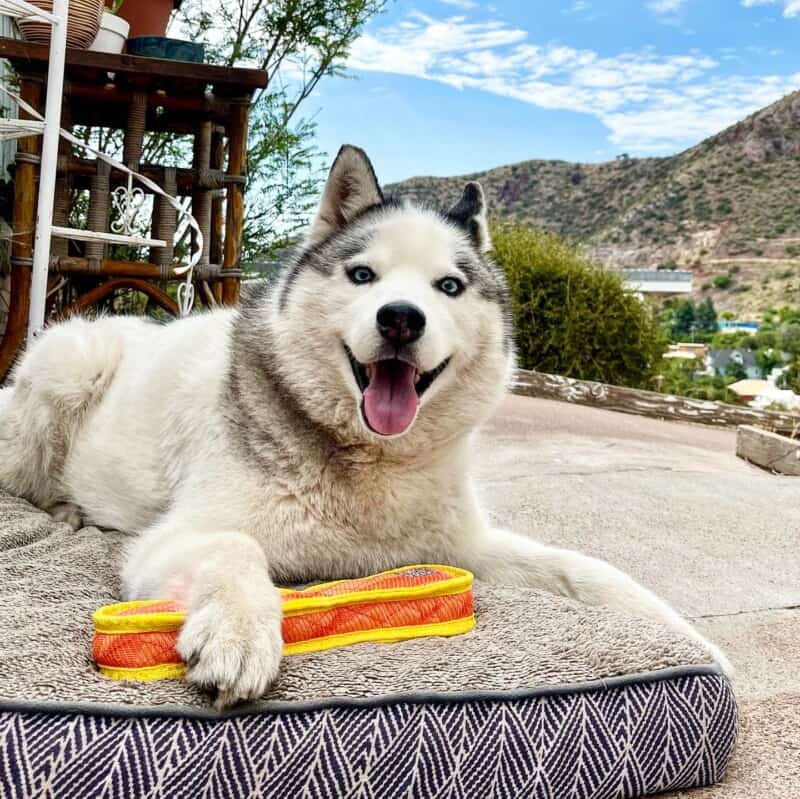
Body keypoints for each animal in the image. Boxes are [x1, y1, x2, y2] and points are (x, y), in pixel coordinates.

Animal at [0, 145, 724, 708]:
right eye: (362, 274)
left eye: (449, 287)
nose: (401, 317)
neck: (369, 462)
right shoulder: (175, 538)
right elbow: (236, 548)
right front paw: (239, 633)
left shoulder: (461, 548)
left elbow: (585, 571)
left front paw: (696, 643)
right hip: (72, 366)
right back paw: (64, 510)